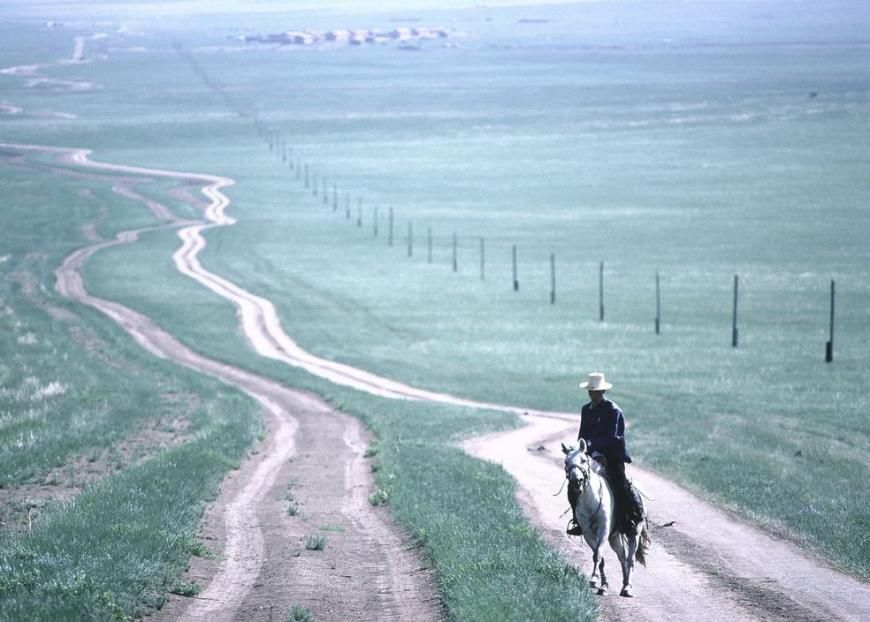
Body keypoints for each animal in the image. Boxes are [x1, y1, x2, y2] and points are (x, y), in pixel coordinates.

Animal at [564, 442, 648, 596]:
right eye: (566, 462)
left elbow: (598, 554)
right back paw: (621, 584)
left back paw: (628, 587)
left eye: (583, 460)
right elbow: (599, 556)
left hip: (634, 534)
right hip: (614, 537)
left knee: (630, 559)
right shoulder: (588, 533)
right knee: (622, 556)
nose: (576, 482)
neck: (591, 501)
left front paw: (593, 579)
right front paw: (602, 584)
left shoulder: (603, 530)